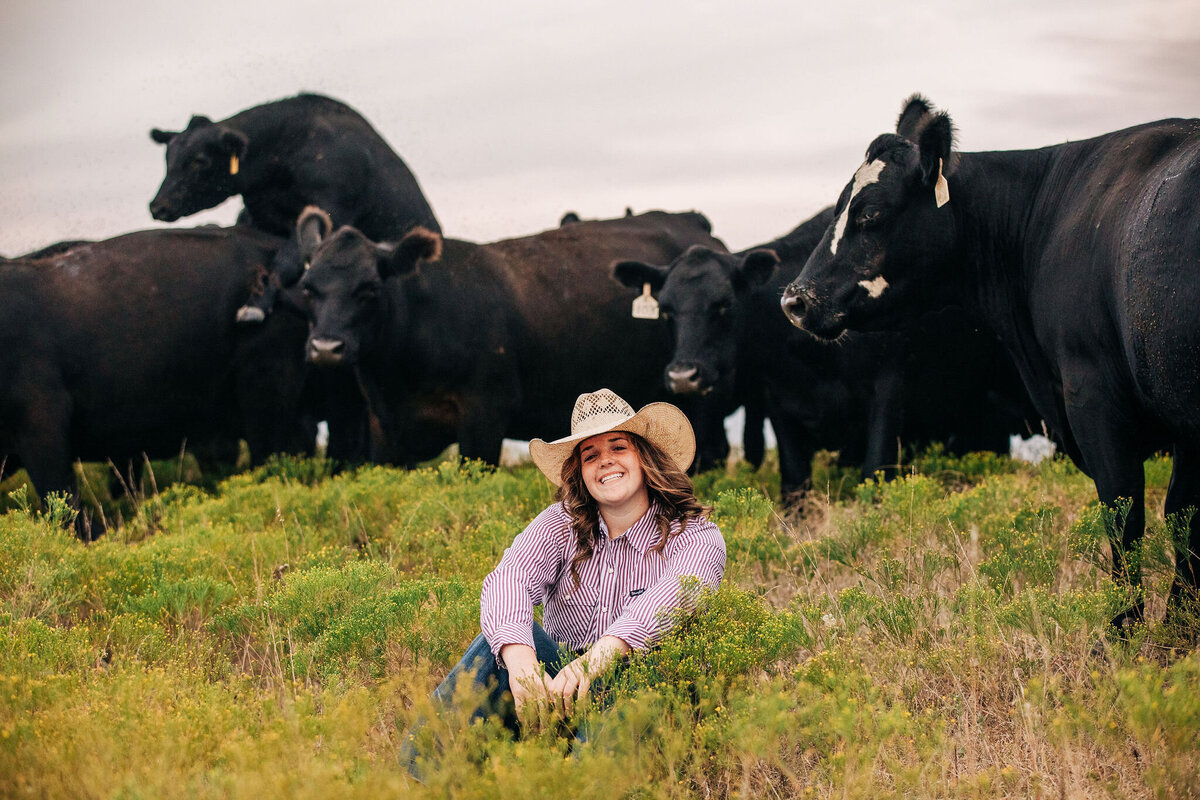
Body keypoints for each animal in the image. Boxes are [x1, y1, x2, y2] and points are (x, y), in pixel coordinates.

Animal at [148, 92, 441, 321]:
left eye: (199, 160)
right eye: (168, 158)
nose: (157, 206)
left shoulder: (331, 208)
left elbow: (287, 259)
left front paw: (255, 306)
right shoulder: (258, 215)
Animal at [614, 208, 1027, 494]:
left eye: (723, 305)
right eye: (667, 310)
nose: (684, 376)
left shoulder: (888, 391)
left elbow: (874, 473)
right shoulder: (780, 404)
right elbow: (796, 486)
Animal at [782, 95, 1200, 623]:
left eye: (870, 214)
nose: (794, 300)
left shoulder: (1093, 400)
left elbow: (1126, 522)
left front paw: (1124, 631)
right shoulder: (1182, 421)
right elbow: (1184, 518)